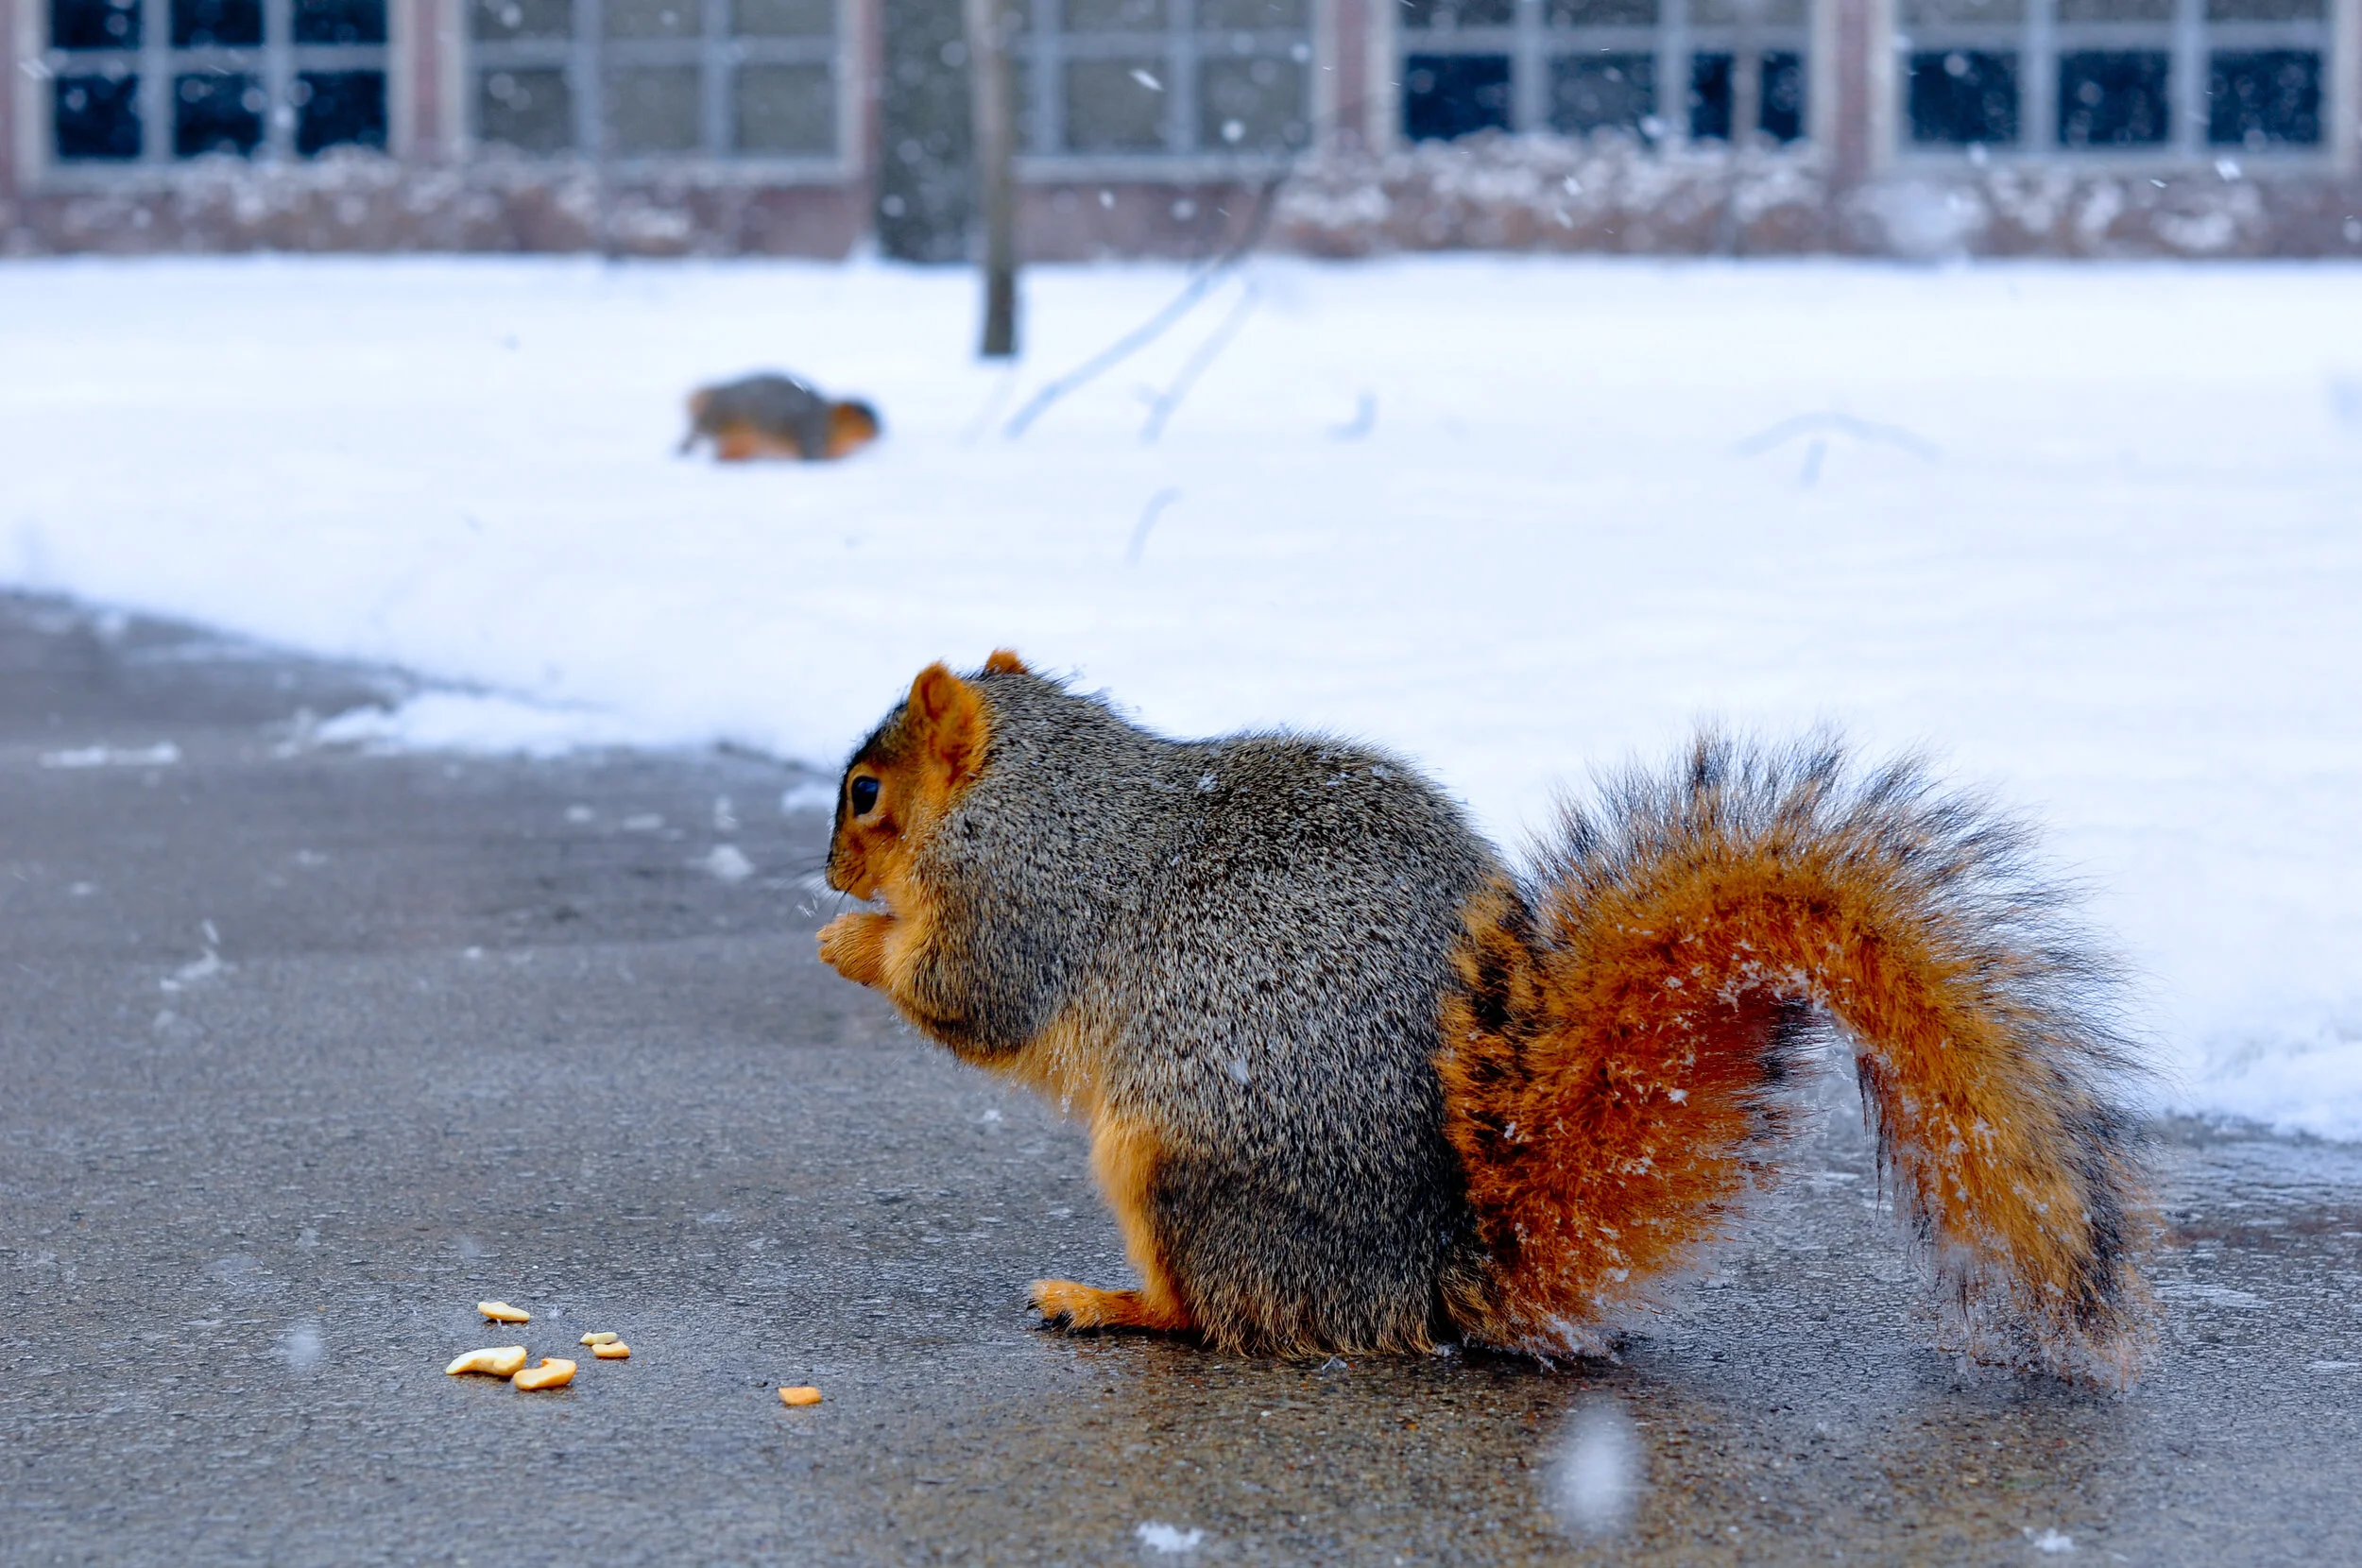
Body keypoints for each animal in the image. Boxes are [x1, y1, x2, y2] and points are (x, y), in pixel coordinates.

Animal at [816, 653, 2155, 1386]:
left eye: (868, 791)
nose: (827, 870)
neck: (1032, 784)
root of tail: (1437, 1272)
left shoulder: (1024, 895)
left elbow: (969, 994)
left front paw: (853, 943)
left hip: (1179, 1169)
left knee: (1216, 1314)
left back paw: (1107, 1301)